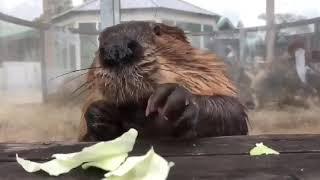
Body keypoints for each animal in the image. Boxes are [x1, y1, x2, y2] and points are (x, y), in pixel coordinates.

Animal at [79, 21, 249, 141]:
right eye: (100, 39)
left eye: (157, 30)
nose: (117, 50)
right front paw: (100, 114)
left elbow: (233, 111)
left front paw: (172, 97)